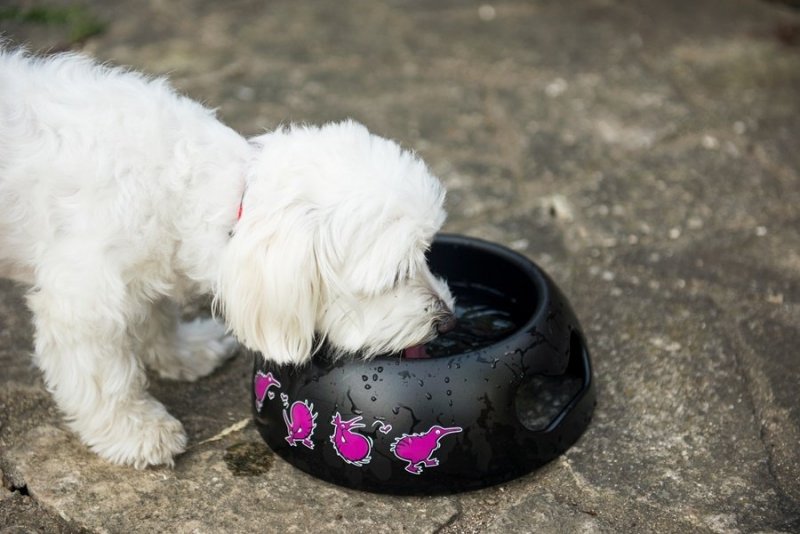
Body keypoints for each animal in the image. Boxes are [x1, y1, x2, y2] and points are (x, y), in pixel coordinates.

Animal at [0, 50, 456, 468]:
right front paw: (136, 430)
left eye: (426, 253)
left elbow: (156, 315)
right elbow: (105, 377)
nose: (448, 320)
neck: (189, 185)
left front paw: (183, 353)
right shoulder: (83, 300)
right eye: (395, 275)